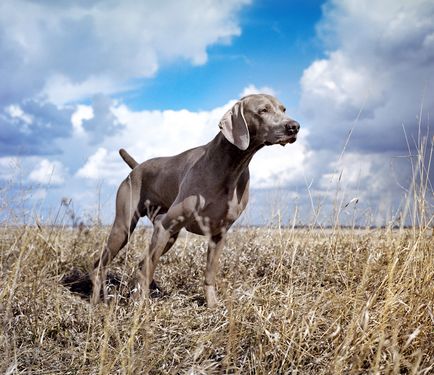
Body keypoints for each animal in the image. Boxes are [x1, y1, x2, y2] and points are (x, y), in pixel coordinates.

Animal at [92, 94, 298, 308]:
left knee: (141, 263)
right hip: (126, 228)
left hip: (167, 233)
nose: (294, 127)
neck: (231, 166)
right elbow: (147, 269)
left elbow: (210, 274)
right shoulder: (166, 226)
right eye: (263, 110)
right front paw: (139, 307)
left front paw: (212, 305)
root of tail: (137, 167)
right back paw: (98, 301)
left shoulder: (219, 234)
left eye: (283, 109)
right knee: (103, 264)